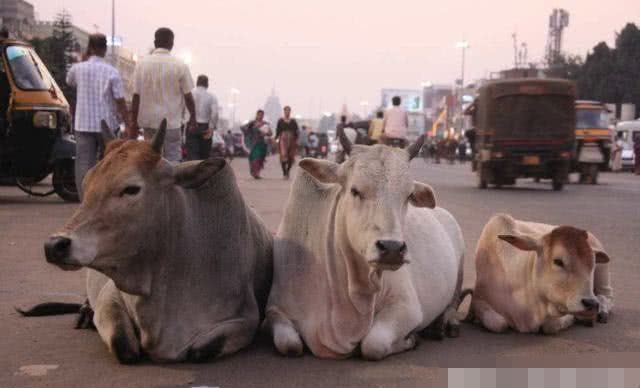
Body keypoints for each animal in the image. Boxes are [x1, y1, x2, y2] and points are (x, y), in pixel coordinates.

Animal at [30, 121, 272, 364]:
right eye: (86, 183)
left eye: (131, 189)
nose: (54, 245)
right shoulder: (111, 295)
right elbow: (123, 346)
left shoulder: (246, 319)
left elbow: (200, 350)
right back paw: (85, 314)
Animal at [264, 136, 464, 360]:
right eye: (355, 190)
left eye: (408, 196)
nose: (392, 248)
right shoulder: (275, 309)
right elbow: (289, 345)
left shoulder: (407, 307)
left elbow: (373, 345)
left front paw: (411, 339)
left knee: (453, 302)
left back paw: (445, 324)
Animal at [468, 214, 612, 334]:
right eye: (558, 261)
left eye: (592, 263)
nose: (591, 304)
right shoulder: (478, 300)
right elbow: (499, 323)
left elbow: (551, 326)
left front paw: (573, 318)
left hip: (603, 273)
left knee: (606, 295)